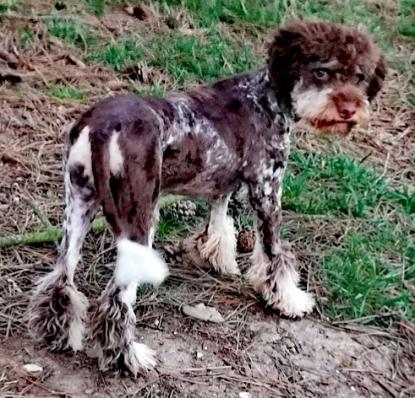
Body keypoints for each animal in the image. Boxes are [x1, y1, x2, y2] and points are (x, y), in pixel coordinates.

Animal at [28, 18, 386, 374]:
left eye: (359, 76)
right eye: (322, 71)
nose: (349, 109)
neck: (266, 99)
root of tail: (102, 127)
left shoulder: (221, 187)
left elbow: (219, 226)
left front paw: (219, 260)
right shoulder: (268, 190)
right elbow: (274, 254)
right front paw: (289, 300)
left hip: (79, 205)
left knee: (62, 278)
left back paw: (58, 334)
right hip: (139, 220)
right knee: (117, 299)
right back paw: (129, 358)